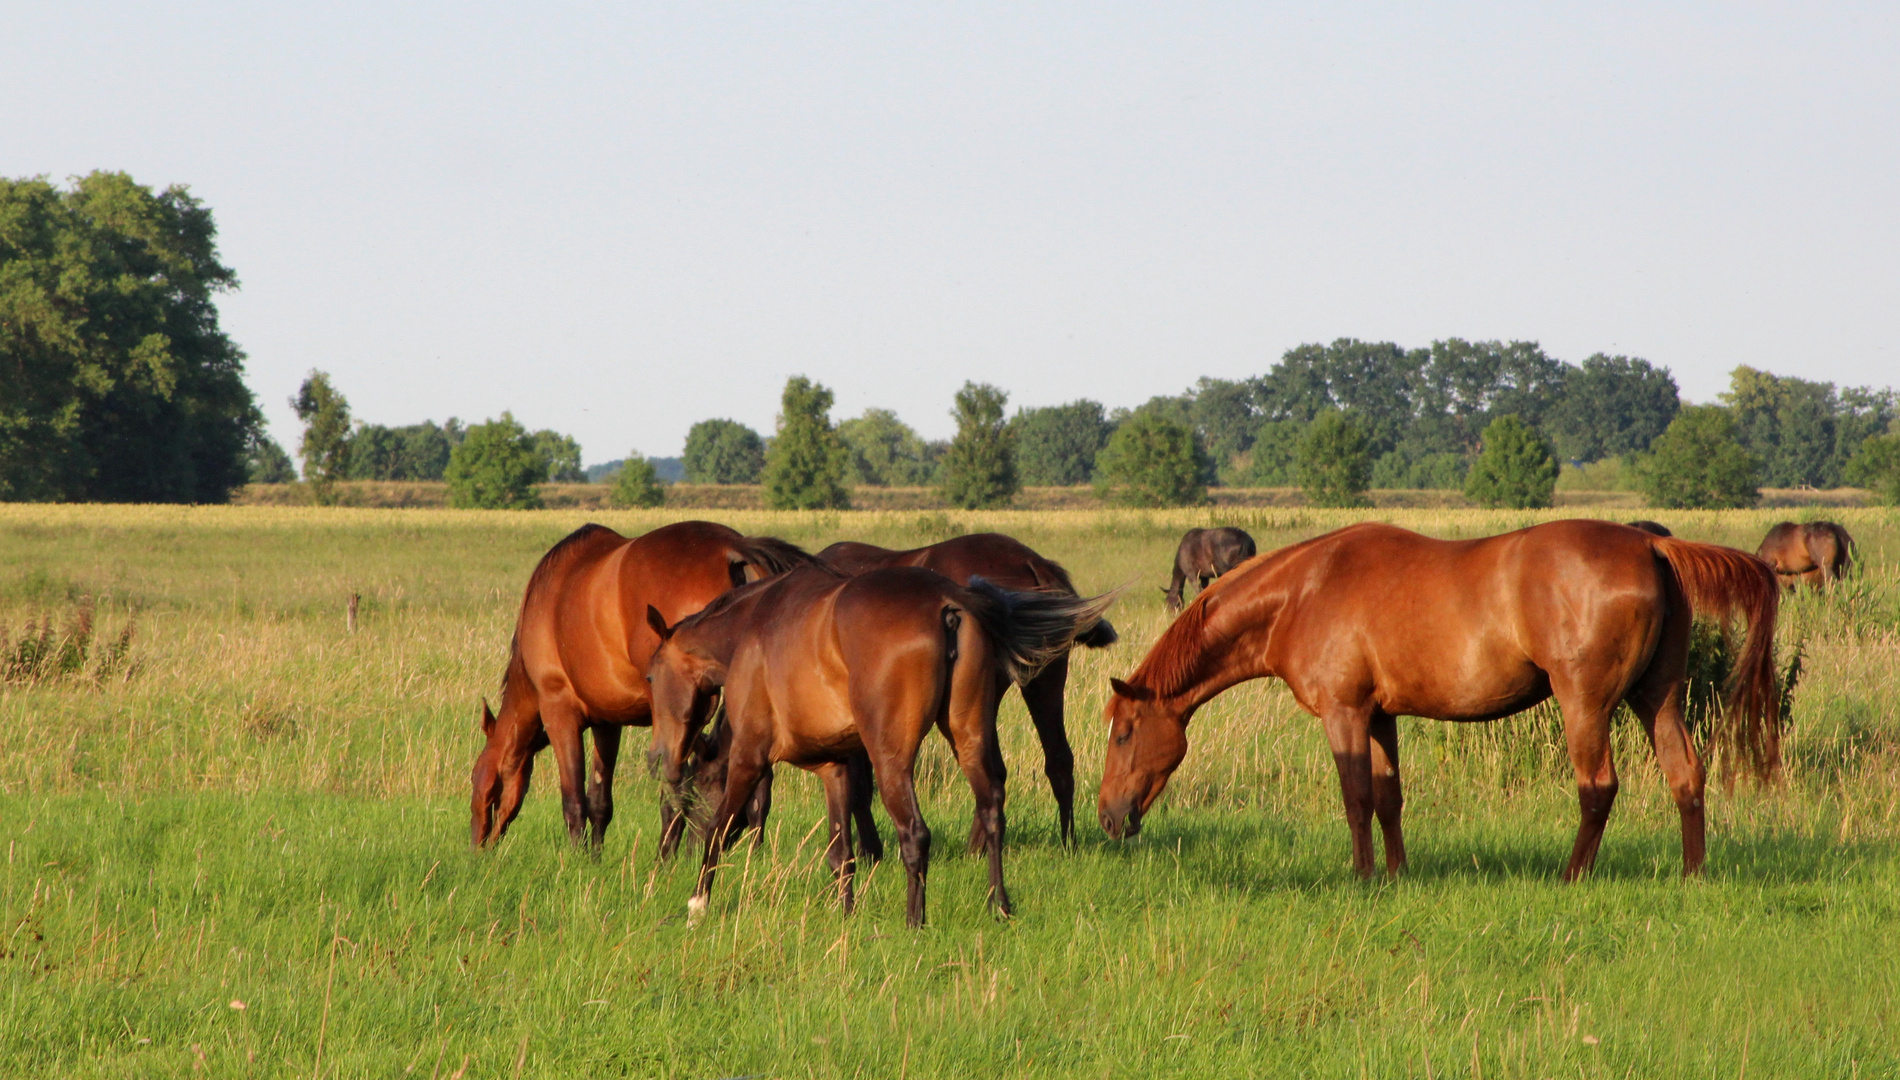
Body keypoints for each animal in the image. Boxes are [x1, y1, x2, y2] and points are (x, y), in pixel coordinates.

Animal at [469, 517, 817, 848]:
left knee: (676, 786)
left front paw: (576, 859)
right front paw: (594, 859)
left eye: (478, 780)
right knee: (757, 790)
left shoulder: (559, 714)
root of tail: (730, 548)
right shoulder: (607, 723)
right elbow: (600, 801)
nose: (477, 847)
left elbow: (574, 803)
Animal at [649, 566, 1109, 927]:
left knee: (916, 833)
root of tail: (948, 604)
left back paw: (914, 922)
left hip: (892, 761)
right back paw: (999, 906)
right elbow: (841, 853)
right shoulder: (835, 767)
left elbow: (718, 827)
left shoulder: (749, 757)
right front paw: (846, 914)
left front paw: (698, 904)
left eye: (651, 677)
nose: (659, 758)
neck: (756, 625)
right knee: (992, 808)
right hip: (969, 738)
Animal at [813, 532, 1109, 844]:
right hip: (1044, 680)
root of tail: (1032, 562)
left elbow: (859, 787)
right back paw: (1067, 842)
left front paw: (869, 847)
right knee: (1058, 760)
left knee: (996, 771)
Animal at [1102, 517, 1778, 882]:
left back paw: (1571, 876)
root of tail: (1650, 546)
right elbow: (1388, 798)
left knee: (1599, 788)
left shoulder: (1345, 715)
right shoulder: (1379, 716)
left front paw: (1362, 876)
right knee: (1685, 774)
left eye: (1124, 732)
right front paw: (1396, 874)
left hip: (1584, 704)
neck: (1303, 591)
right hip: (1656, 698)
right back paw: (1693, 875)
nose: (1107, 817)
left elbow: (1355, 798)